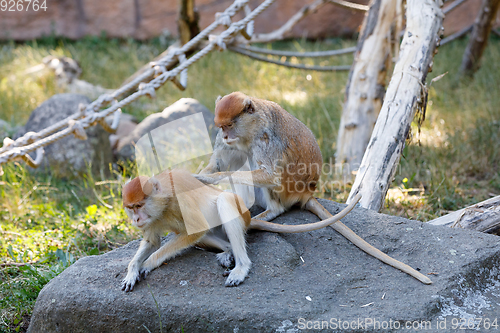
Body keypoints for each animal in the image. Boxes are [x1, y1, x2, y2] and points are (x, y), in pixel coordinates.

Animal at [123, 167, 362, 290]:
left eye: (139, 205)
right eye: (130, 207)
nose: (136, 219)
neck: (162, 201)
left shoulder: (179, 199)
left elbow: (195, 230)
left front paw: (147, 263)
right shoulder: (153, 220)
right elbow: (153, 241)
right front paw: (132, 271)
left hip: (240, 211)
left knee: (224, 201)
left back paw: (240, 266)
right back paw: (228, 251)